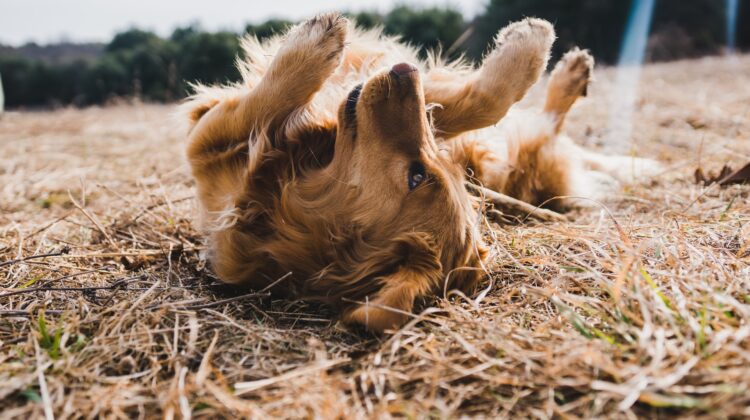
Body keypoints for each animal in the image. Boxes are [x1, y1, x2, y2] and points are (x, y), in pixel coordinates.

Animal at [185, 12, 660, 332]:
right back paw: (573, 73)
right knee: (545, 126)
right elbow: (477, 103)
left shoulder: (205, 145)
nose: (404, 71)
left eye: (419, 176)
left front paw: (313, 47)